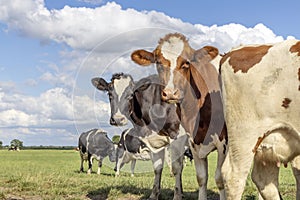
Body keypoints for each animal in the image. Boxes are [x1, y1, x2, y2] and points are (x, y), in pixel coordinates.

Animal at [131, 33, 227, 200]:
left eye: (187, 63)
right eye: (158, 62)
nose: (170, 93)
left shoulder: (223, 143)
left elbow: (219, 178)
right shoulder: (193, 142)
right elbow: (201, 178)